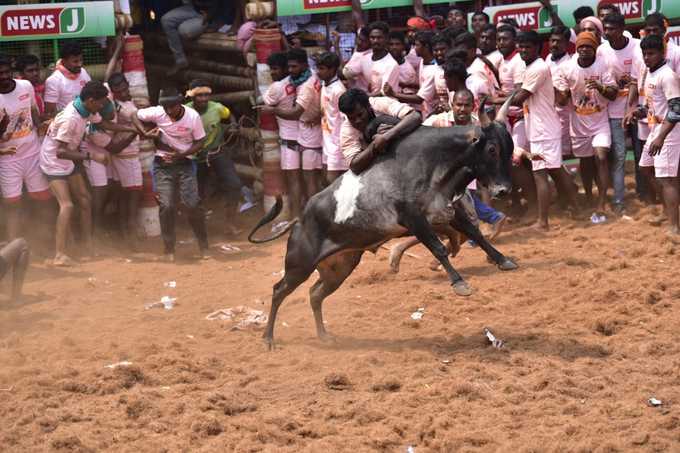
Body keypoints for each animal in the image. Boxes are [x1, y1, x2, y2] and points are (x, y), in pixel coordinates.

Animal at [251, 99, 520, 348]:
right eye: (492, 149)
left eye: (509, 148)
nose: (504, 190)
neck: (437, 160)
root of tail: (299, 219)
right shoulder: (413, 218)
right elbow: (439, 248)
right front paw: (460, 284)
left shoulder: (448, 211)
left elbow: (476, 233)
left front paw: (503, 260)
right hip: (300, 265)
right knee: (278, 290)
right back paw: (268, 338)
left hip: (339, 267)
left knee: (315, 295)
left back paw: (323, 335)